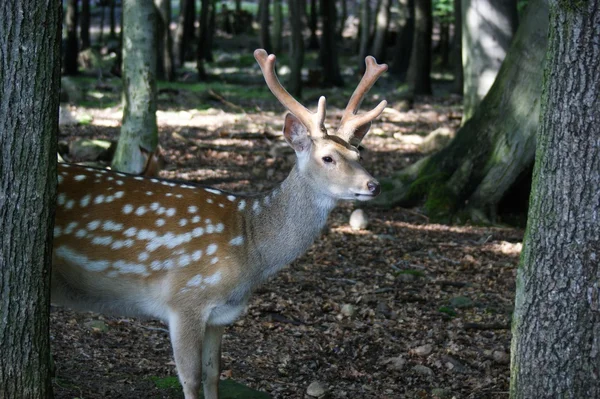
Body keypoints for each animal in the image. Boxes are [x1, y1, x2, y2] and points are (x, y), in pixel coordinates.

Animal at [52, 49, 390, 399]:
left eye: (359, 153)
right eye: (327, 157)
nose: (373, 185)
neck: (247, 251)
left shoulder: (220, 315)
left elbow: (213, 374)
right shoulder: (184, 300)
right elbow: (190, 379)